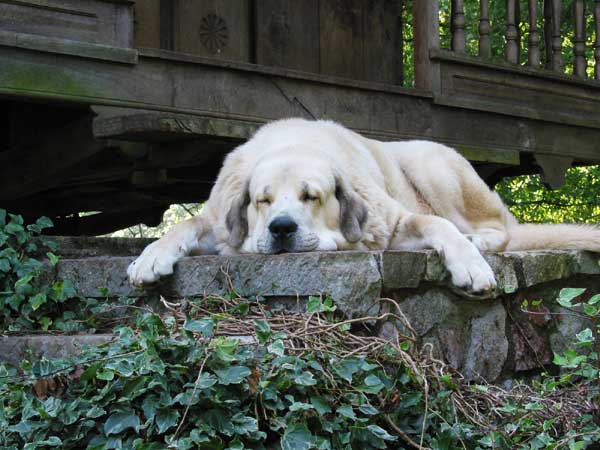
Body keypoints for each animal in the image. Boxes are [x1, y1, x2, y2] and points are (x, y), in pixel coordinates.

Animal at [126, 118, 600, 292]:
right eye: (263, 201)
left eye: (310, 196)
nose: (281, 228)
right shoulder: (221, 225)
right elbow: (185, 227)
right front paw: (150, 257)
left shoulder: (394, 224)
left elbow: (436, 226)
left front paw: (470, 264)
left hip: (433, 164)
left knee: (496, 226)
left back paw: (478, 241)